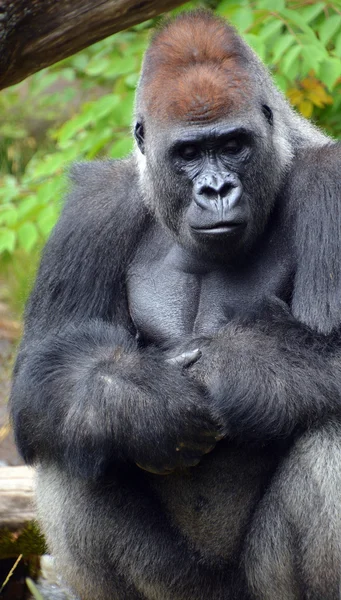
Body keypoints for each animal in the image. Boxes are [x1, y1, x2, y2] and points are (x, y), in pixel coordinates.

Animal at [9, 8, 340, 600]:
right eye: (188, 154)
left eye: (232, 145)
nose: (216, 190)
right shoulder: (92, 208)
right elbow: (38, 375)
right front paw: (141, 398)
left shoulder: (332, 183)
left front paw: (233, 366)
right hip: (177, 587)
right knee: (68, 433)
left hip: (256, 586)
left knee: (329, 428)